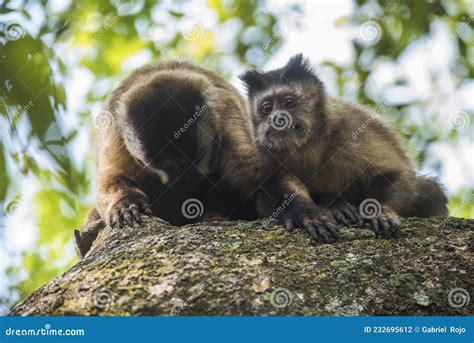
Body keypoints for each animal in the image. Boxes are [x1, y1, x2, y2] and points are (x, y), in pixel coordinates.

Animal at [241, 55, 448, 241]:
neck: (309, 146)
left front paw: (380, 210)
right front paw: (317, 208)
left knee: (431, 191)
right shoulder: (262, 151)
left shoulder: (350, 126)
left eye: (288, 103)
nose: (275, 117)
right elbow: (269, 193)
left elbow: (396, 172)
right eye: (267, 108)